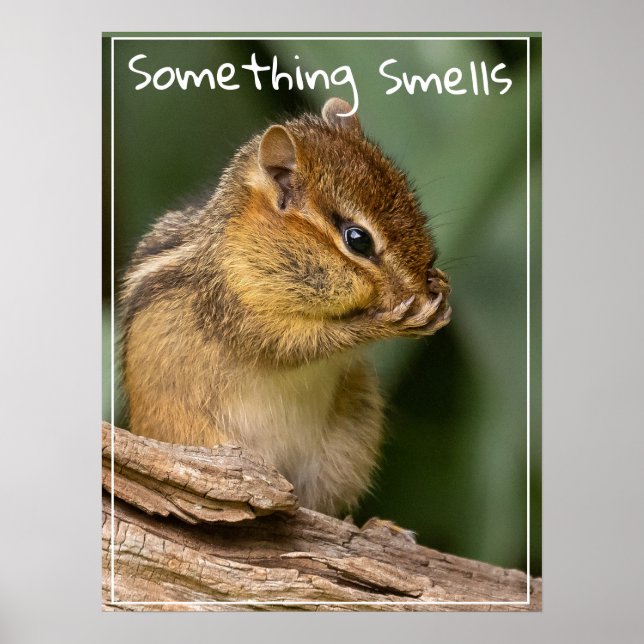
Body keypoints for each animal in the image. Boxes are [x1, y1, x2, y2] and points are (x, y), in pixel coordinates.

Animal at [119, 98, 451, 517]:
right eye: (357, 239)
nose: (420, 287)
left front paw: (440, 287)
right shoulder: (236, 309)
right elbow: (297, 344)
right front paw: (384, 322)